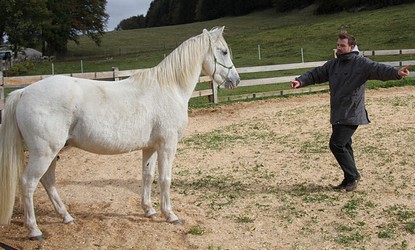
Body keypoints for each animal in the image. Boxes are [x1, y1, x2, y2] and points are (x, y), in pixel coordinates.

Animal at [0, 26, 240, 239]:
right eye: (224, 51)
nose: (236, 80)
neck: (169, 88)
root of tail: (24, 92)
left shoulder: (151, 147)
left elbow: (147, 176)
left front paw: (149, 210)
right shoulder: (167, 144)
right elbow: (165, 179)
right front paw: (170, 215)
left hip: (52, 152)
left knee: (48, 181)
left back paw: (66, 217)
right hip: (44, 152)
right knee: (28, 183)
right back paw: (35, 230)